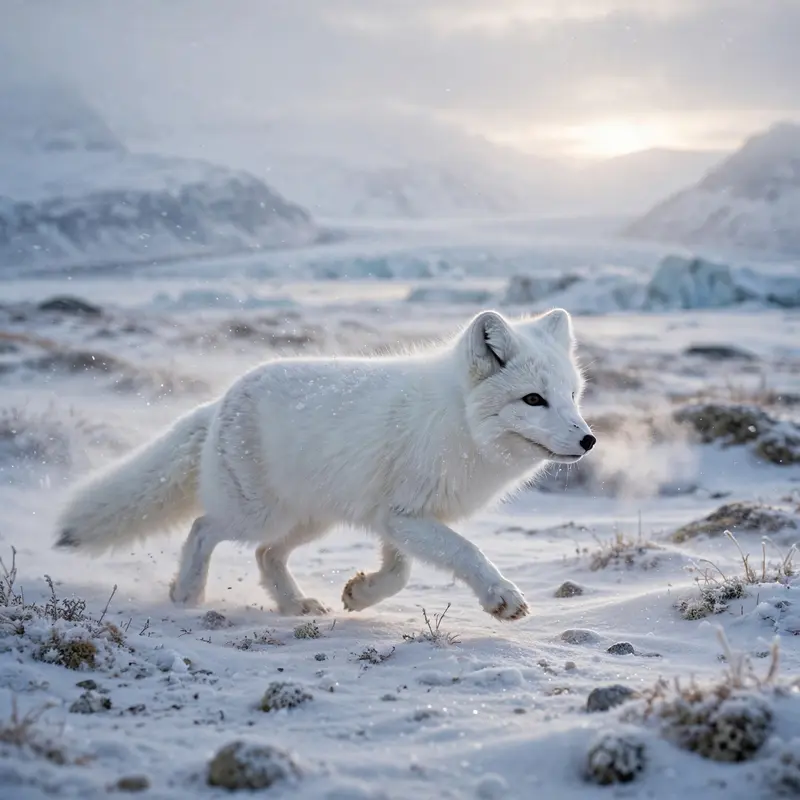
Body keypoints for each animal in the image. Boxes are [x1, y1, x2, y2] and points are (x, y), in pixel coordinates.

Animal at [54, 308, 596, 622]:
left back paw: (293, 604)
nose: (589, 440)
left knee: (265, 555)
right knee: (203, 528)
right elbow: (467, 552)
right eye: (533, 399)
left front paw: (361, 595)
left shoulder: (395, 519)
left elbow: (400, 574)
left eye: (571, 396)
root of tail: (223, 399)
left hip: (311, 519)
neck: (458, 425)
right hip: (257, 514)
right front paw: (501, 597)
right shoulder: (405, 516)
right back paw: (188, 593)